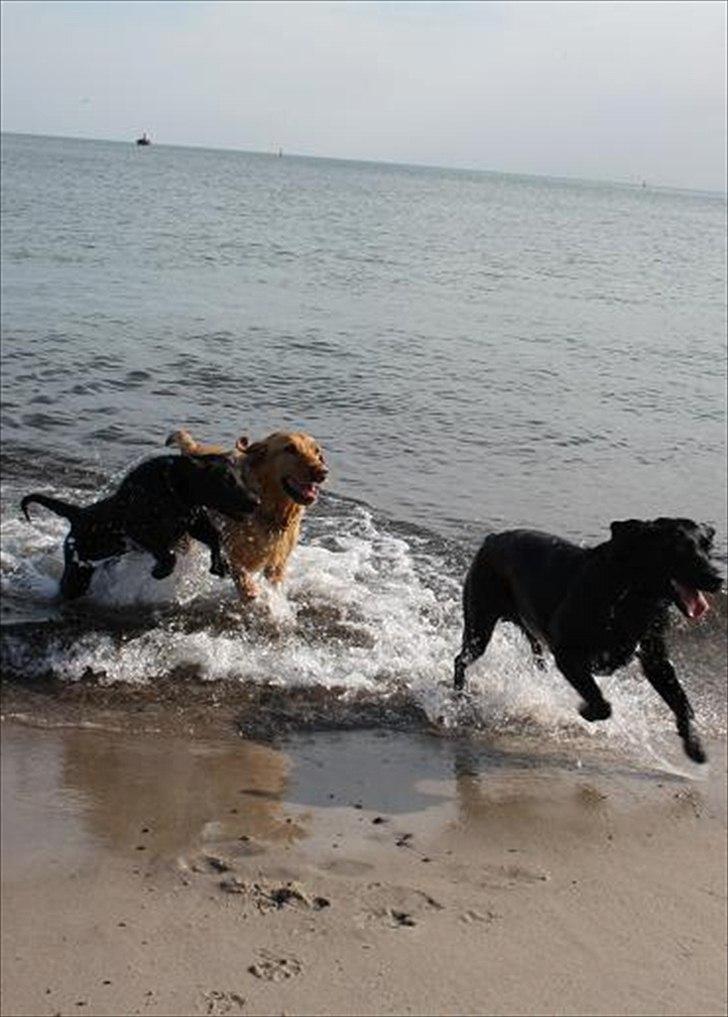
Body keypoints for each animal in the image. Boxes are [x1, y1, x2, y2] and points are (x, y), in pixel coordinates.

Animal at [21, 451, 259, 593]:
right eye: (227, 480)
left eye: (241, 477)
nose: (255, 501)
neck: (175, 489)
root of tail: (78, 514)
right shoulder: (138, 531)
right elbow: (168, 554)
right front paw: (160, 570)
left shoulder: (194, 521)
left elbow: (215, 537)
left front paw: (219, 564)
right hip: (77, 570)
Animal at [455, 516, 723, 764]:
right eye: (680, 549)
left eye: (707, 548)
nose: (718, 579)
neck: (629, 592)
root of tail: (491, 539)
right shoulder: (567, 654)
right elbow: (602, 704)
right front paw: (585, 711)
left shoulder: (655, 660)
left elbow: (682, 703)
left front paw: (694, 745)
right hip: (479, 625)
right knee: (461, 659)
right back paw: (459, 697)